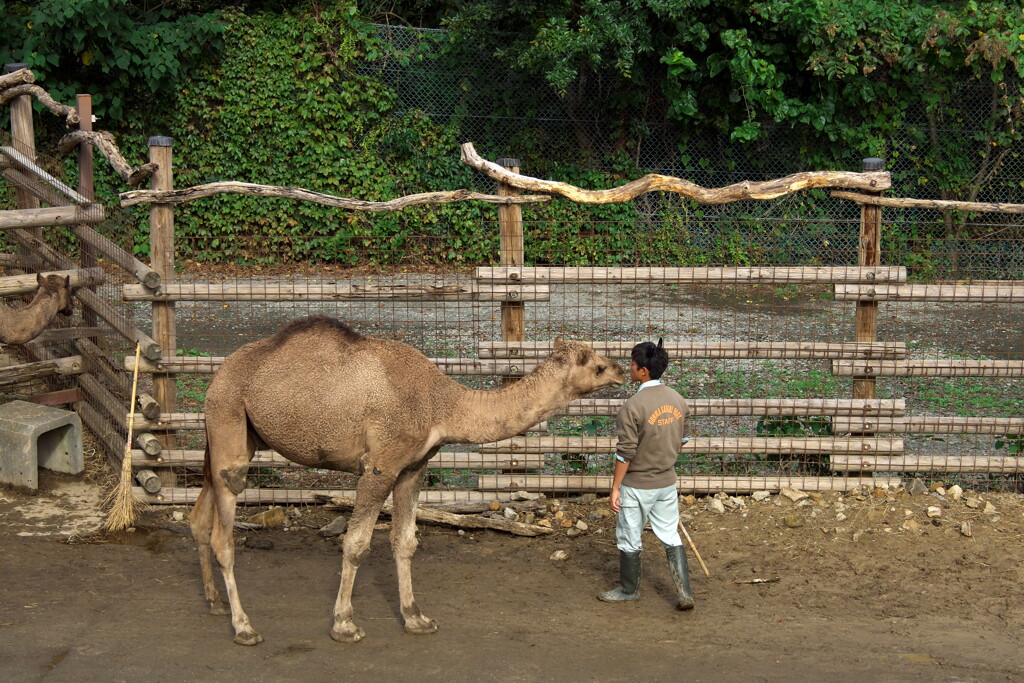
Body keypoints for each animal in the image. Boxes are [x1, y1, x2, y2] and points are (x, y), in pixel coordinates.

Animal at [191, 317, 622, 647]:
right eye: (597, 366)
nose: (619, 368)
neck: (442, 405)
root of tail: (216, 378)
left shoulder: (413, 468)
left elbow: (405, 541)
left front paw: (416, 618)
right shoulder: (380, 463)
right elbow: (357, 544)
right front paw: (344, 624)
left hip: (232, 437)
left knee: (199, 517)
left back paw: (213, 602)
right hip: (229, 422)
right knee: (223, 534)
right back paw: (244, 627)